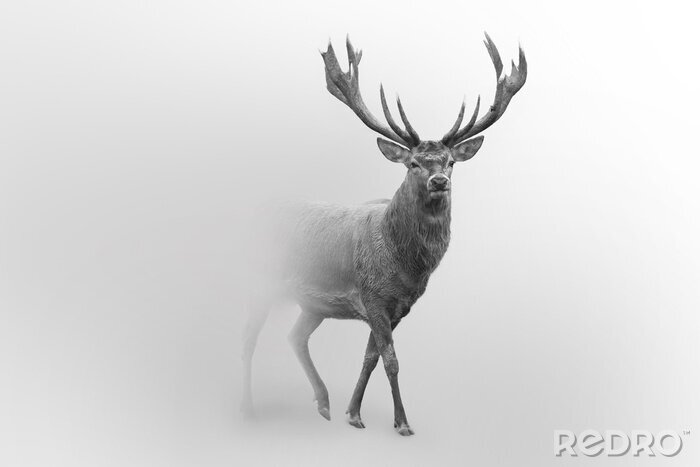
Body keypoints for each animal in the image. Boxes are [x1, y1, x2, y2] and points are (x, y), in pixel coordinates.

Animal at [241, 33, 527, 436]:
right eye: (413, 163)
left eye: (451, 162)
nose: (439, 181)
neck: (405, 265)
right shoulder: (372, 296)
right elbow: (391, 360)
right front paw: (402, 423)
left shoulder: (398, 308)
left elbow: (370, 357)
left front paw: (353, 413)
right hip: (260, 281)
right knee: (248, 339)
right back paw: (249, 409)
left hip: (313, 304)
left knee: (295, 336)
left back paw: (323, 403)